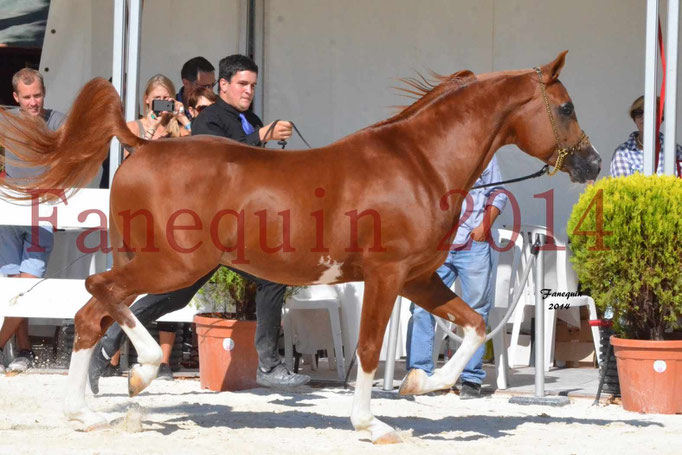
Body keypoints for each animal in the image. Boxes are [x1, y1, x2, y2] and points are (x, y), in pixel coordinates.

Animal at [0, 51, 596, 444]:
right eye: (566, 108)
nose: (590, 165)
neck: (421, 163)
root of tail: (143, 144)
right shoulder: (385, 276)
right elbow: (370, 348)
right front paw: (372, 423)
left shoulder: (418, 277)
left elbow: (473, 325)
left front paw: (421, 383)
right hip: (173, 266)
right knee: (99, 292)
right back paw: (141, 371)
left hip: (154, 265)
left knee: (90, 315)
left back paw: (87, 413)